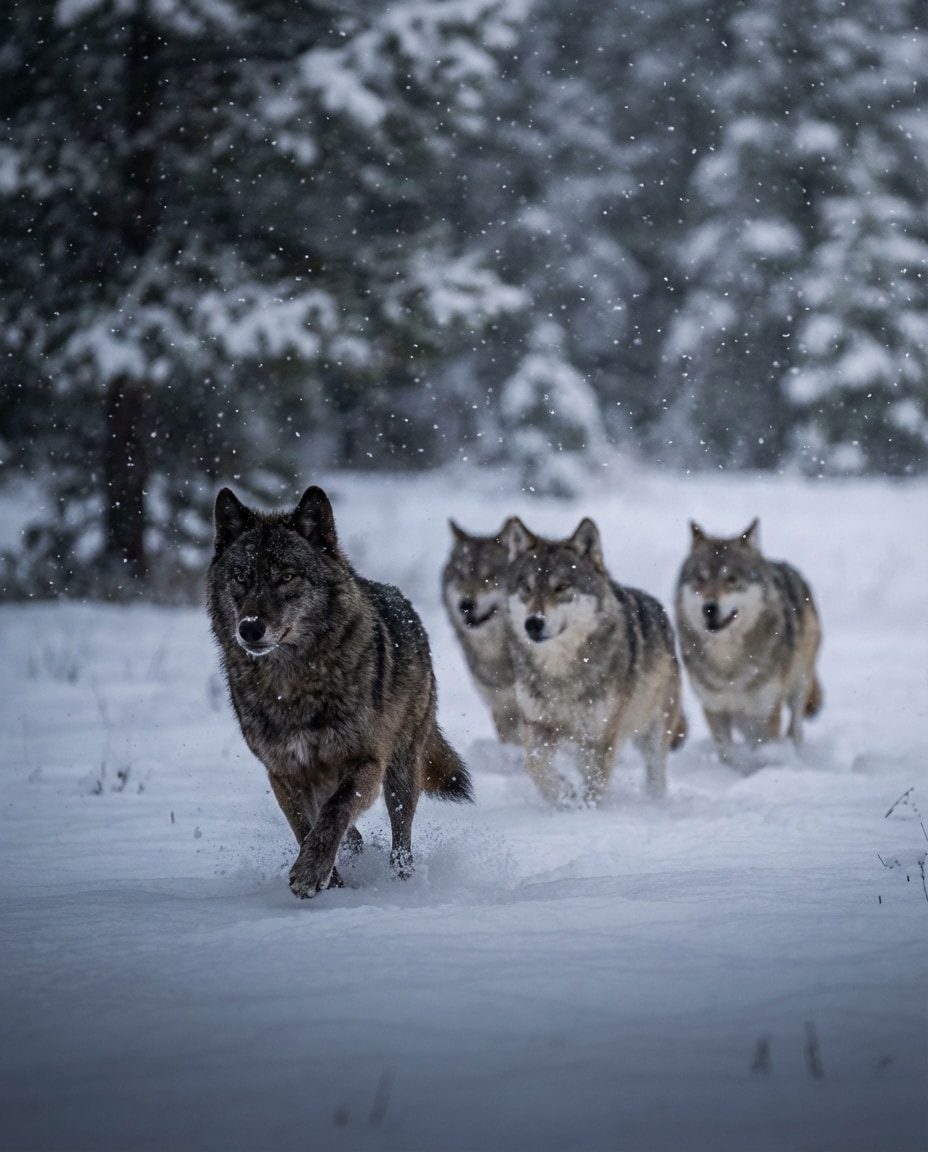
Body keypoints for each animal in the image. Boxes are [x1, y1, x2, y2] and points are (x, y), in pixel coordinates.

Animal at [206, 485, 472, 898]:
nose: (249, 628)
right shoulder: (283, 773)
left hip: (401, 769)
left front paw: (311, 872)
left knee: (401, 834)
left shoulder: (367, 761)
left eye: (287, 576)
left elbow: (335, 812)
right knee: (351, 832)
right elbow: (304, 826)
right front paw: (330, 879)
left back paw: (402, 880)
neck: (291, 685)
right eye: (240, 577)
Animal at [502, 517, 686, 805]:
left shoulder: (600, 737)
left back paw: (656, 802)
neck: (560, 675)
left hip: (654, 731)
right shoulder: (537, 727)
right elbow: (537, 768)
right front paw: (565, 796)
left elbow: (594, 783)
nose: (533, 623)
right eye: (527, 588)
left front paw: (585, 810)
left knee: (656, 773)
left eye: (562, 587)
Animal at [675, 519, 823, 761]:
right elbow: (726, 752)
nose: (709, 608)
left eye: (731, 579)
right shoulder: (715, 708)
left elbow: (760, 748)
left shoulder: (765, 712)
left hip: (799, 684)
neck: (728, 664)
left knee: (796, 727)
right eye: (701, 579)